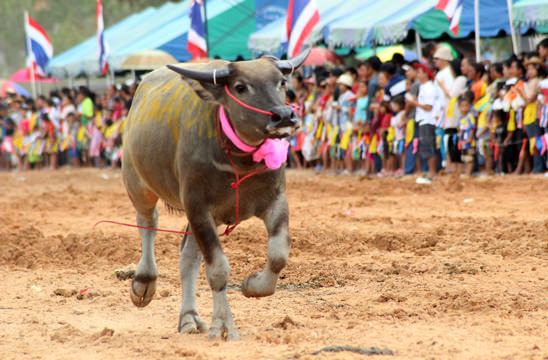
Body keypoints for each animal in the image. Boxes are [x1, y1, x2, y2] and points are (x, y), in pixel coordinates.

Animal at [123, 49, 308, 338]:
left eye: (281, 82)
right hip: (137, 184)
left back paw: (188, 317)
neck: (239, 162)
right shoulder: (197, 206)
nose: (284, 115)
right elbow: (218, 269)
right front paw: (222, 324)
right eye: (240, 87)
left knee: (187, 256)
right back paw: (143, 282)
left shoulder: (275, 200)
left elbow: (278, 255)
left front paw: (253, 285)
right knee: (148, 223)